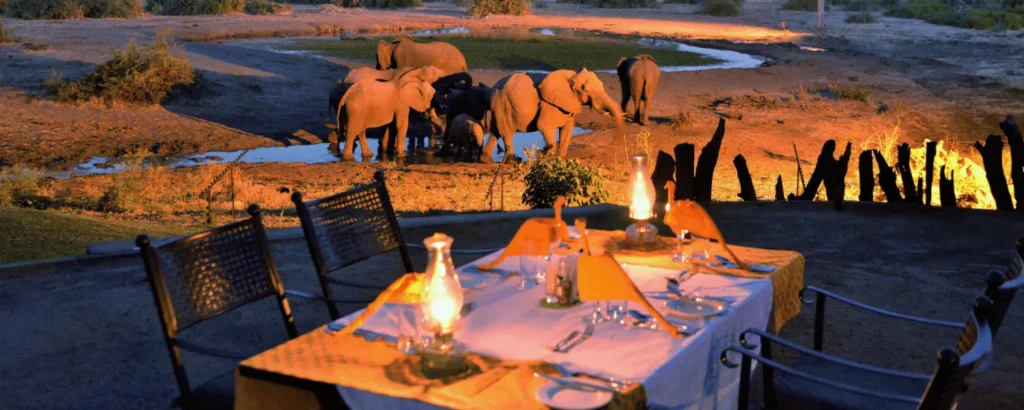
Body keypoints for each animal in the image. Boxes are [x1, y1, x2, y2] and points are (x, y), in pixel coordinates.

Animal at [484, 69, 624, 162]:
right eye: (584, 89)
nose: (616, 144)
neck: (571, 77)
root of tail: (492, 89)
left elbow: (568, 128)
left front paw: (561, 158)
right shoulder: (548, 104)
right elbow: (544, 125)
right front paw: (543, 153)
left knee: (495, 132)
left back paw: (485, 159)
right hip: (503, 104)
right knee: (506, 132)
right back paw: (513, 161)